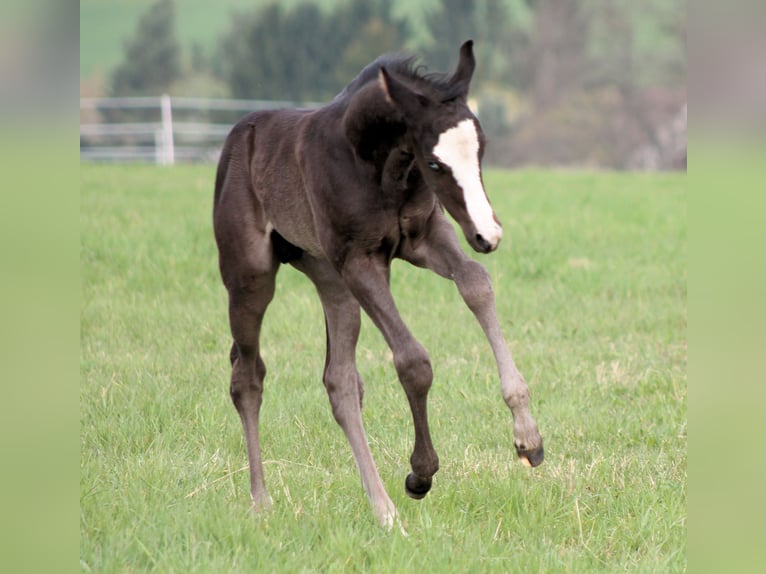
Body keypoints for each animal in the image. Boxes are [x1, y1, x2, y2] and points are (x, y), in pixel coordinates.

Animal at [213, 40, 544, 529]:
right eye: (434, 162)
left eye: (481, 149)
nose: (488, 234)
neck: (372, 163)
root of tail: (239, 136)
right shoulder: (361, 263)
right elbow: (413, 361)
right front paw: (420, 474)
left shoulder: (425, 238)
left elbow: (476, 283)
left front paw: (527, 437)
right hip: (251, 278)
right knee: (247, 376)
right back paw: (264, 500)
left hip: (330, 280)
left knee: (340, 382)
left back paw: (380, 507)